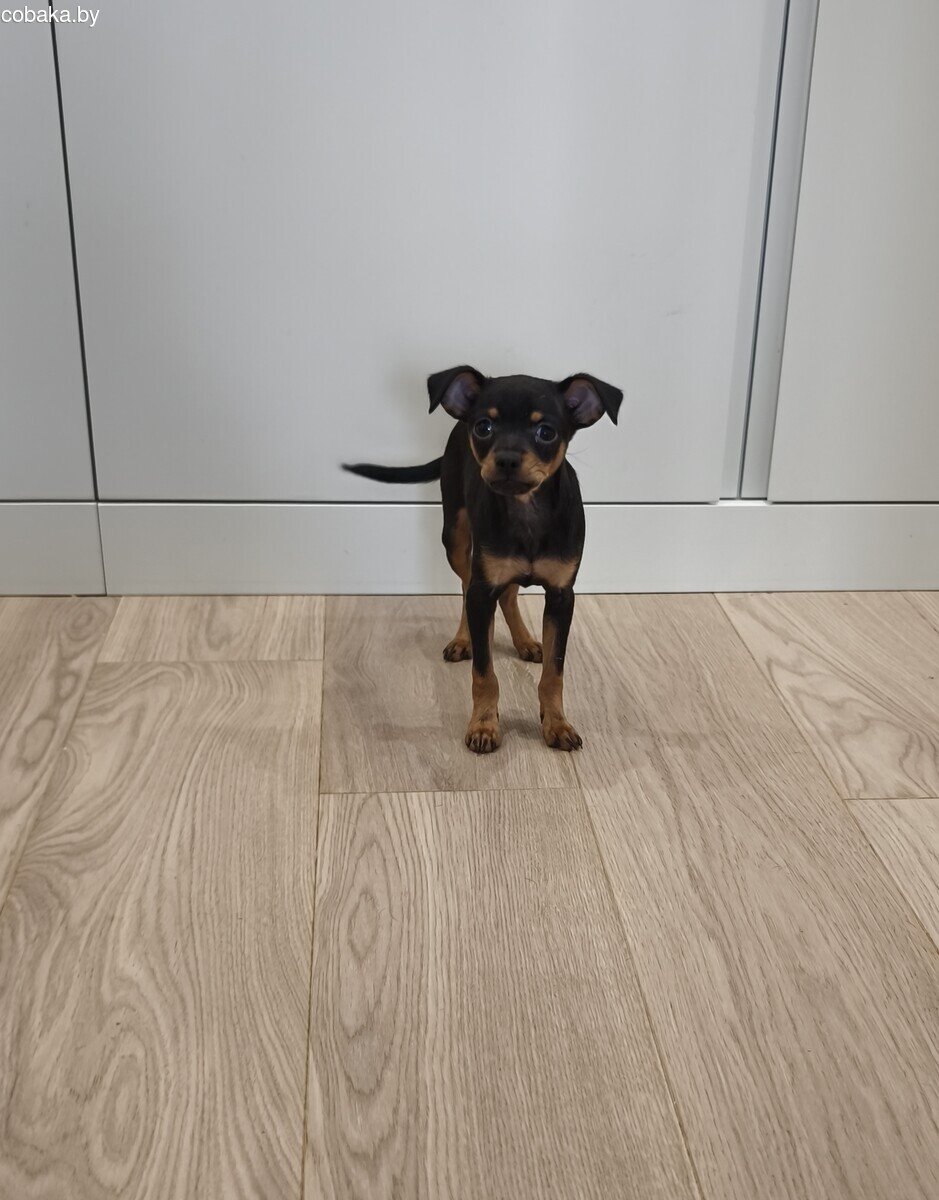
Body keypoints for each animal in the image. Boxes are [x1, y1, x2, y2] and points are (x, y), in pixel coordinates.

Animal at [344, 366, 622, 753]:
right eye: (484, 427)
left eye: (546, 432)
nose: (506, 459)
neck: (526, 512)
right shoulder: (482, 585)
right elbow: (484, 673)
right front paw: (484, 725)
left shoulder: (562, 596)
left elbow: (554, 672)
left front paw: (557, 723)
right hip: (456, 537)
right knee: (467, 589)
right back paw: (466, 640)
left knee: (508, 595)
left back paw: (524, 641)